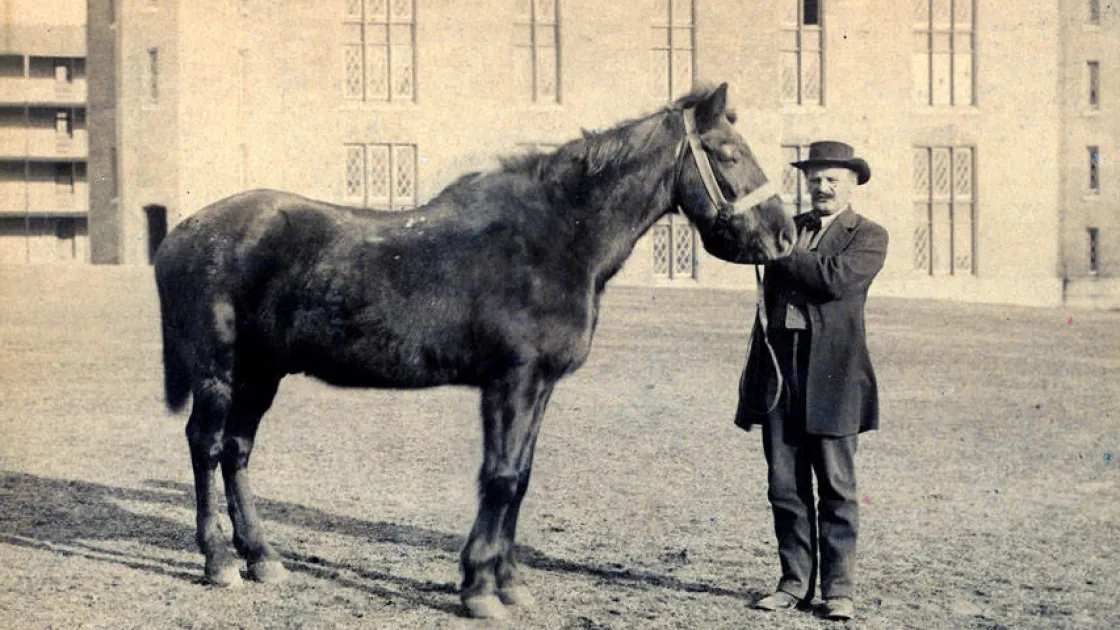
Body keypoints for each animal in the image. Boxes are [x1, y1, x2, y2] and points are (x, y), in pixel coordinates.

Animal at [154, 82, 795, 619]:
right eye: (728, 153)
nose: (785, 235)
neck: (553, 238)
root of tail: (181, 233)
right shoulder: (512, 382)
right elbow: (501, 477)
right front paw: (481, 590)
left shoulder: (539, 387)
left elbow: (522, 477)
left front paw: (508, 583)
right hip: (219, 373)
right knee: (206, 446)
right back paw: (219, 561)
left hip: (261, 374)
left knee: (236, 451)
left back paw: (262, 558)